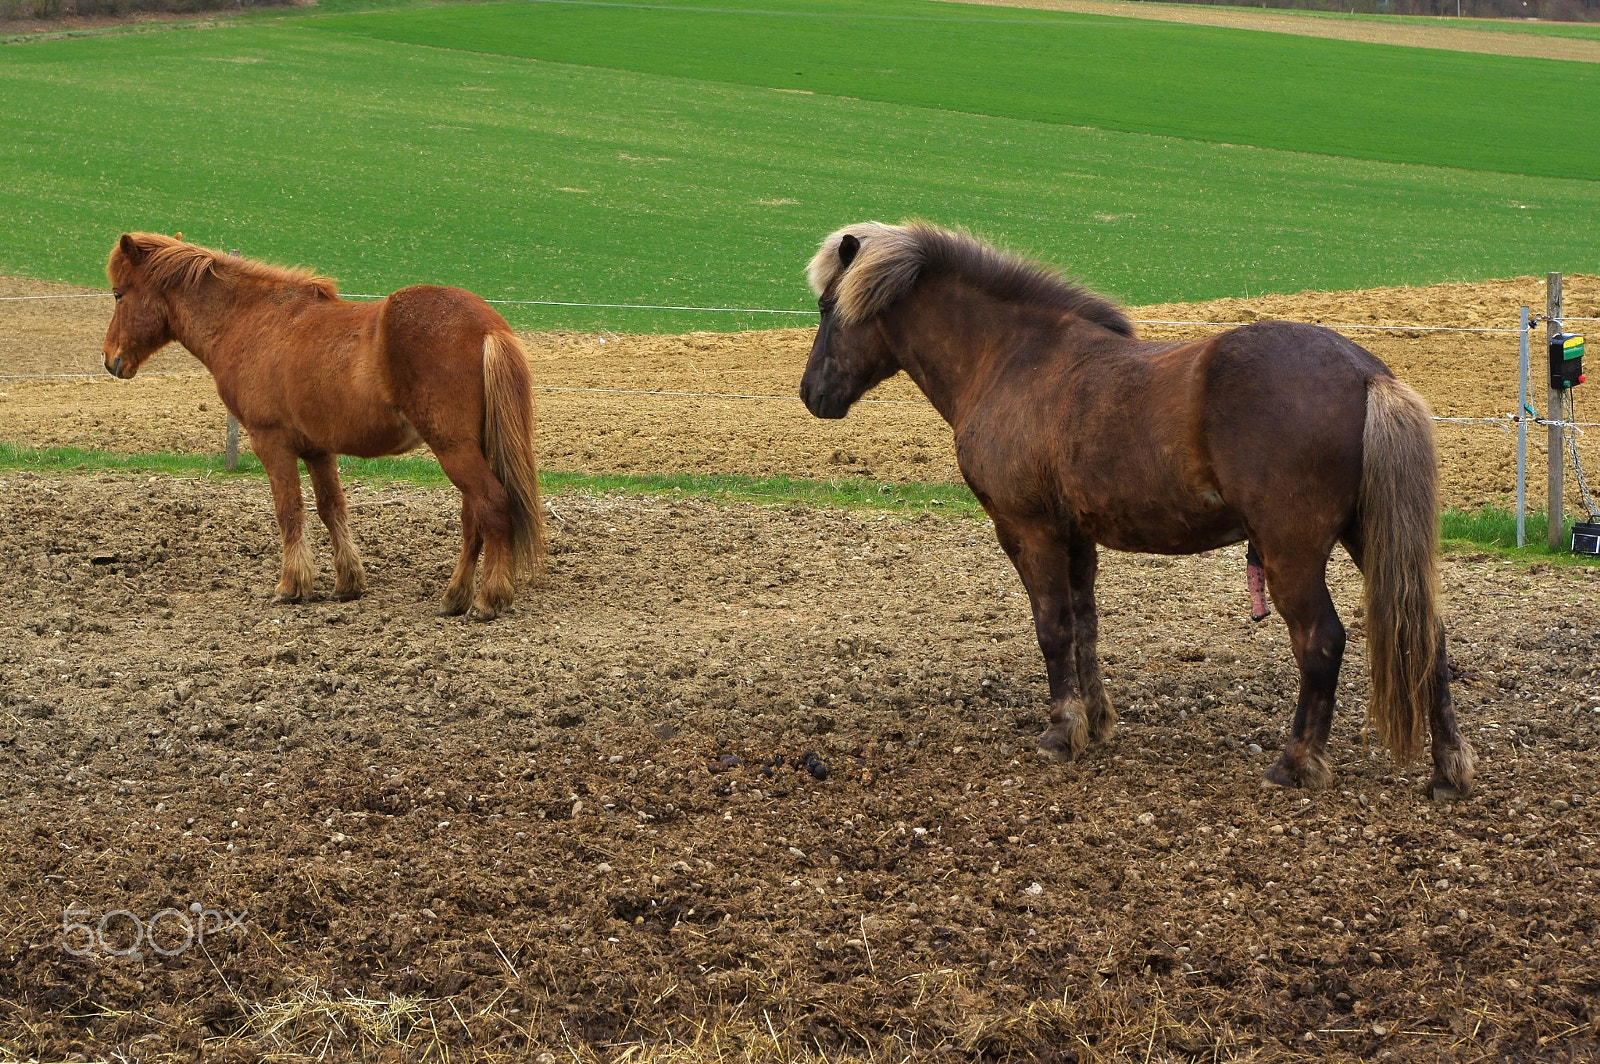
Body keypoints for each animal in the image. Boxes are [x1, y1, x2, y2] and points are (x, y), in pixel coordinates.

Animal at [102, 232, 545, 620]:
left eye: (119, 294)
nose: (110, 359)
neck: (253, 321)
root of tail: (487, 327)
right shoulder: (318, 449)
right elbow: (332, 507)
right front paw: (348, 583)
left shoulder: (271, 442)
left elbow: (289, 510)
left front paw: (291, 586)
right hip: (470, 448)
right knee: (473, 519)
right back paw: (454, 598)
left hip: (453, 448)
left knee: (493, 505)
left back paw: (487, 600)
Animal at [800, 221, 1474, 798]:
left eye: (827, 308)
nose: (812, 394)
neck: (1013, 358)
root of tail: (1366, 373)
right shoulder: (1077, 536)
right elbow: (1084, 624)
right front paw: (1095, 721)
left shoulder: (1027, 530)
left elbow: (1053, 626)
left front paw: (1060, 731)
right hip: (1369, 539)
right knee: (1429, 637)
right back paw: (1448, 770)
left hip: (1293, 552)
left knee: (1322, 641)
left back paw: (1296, 761)